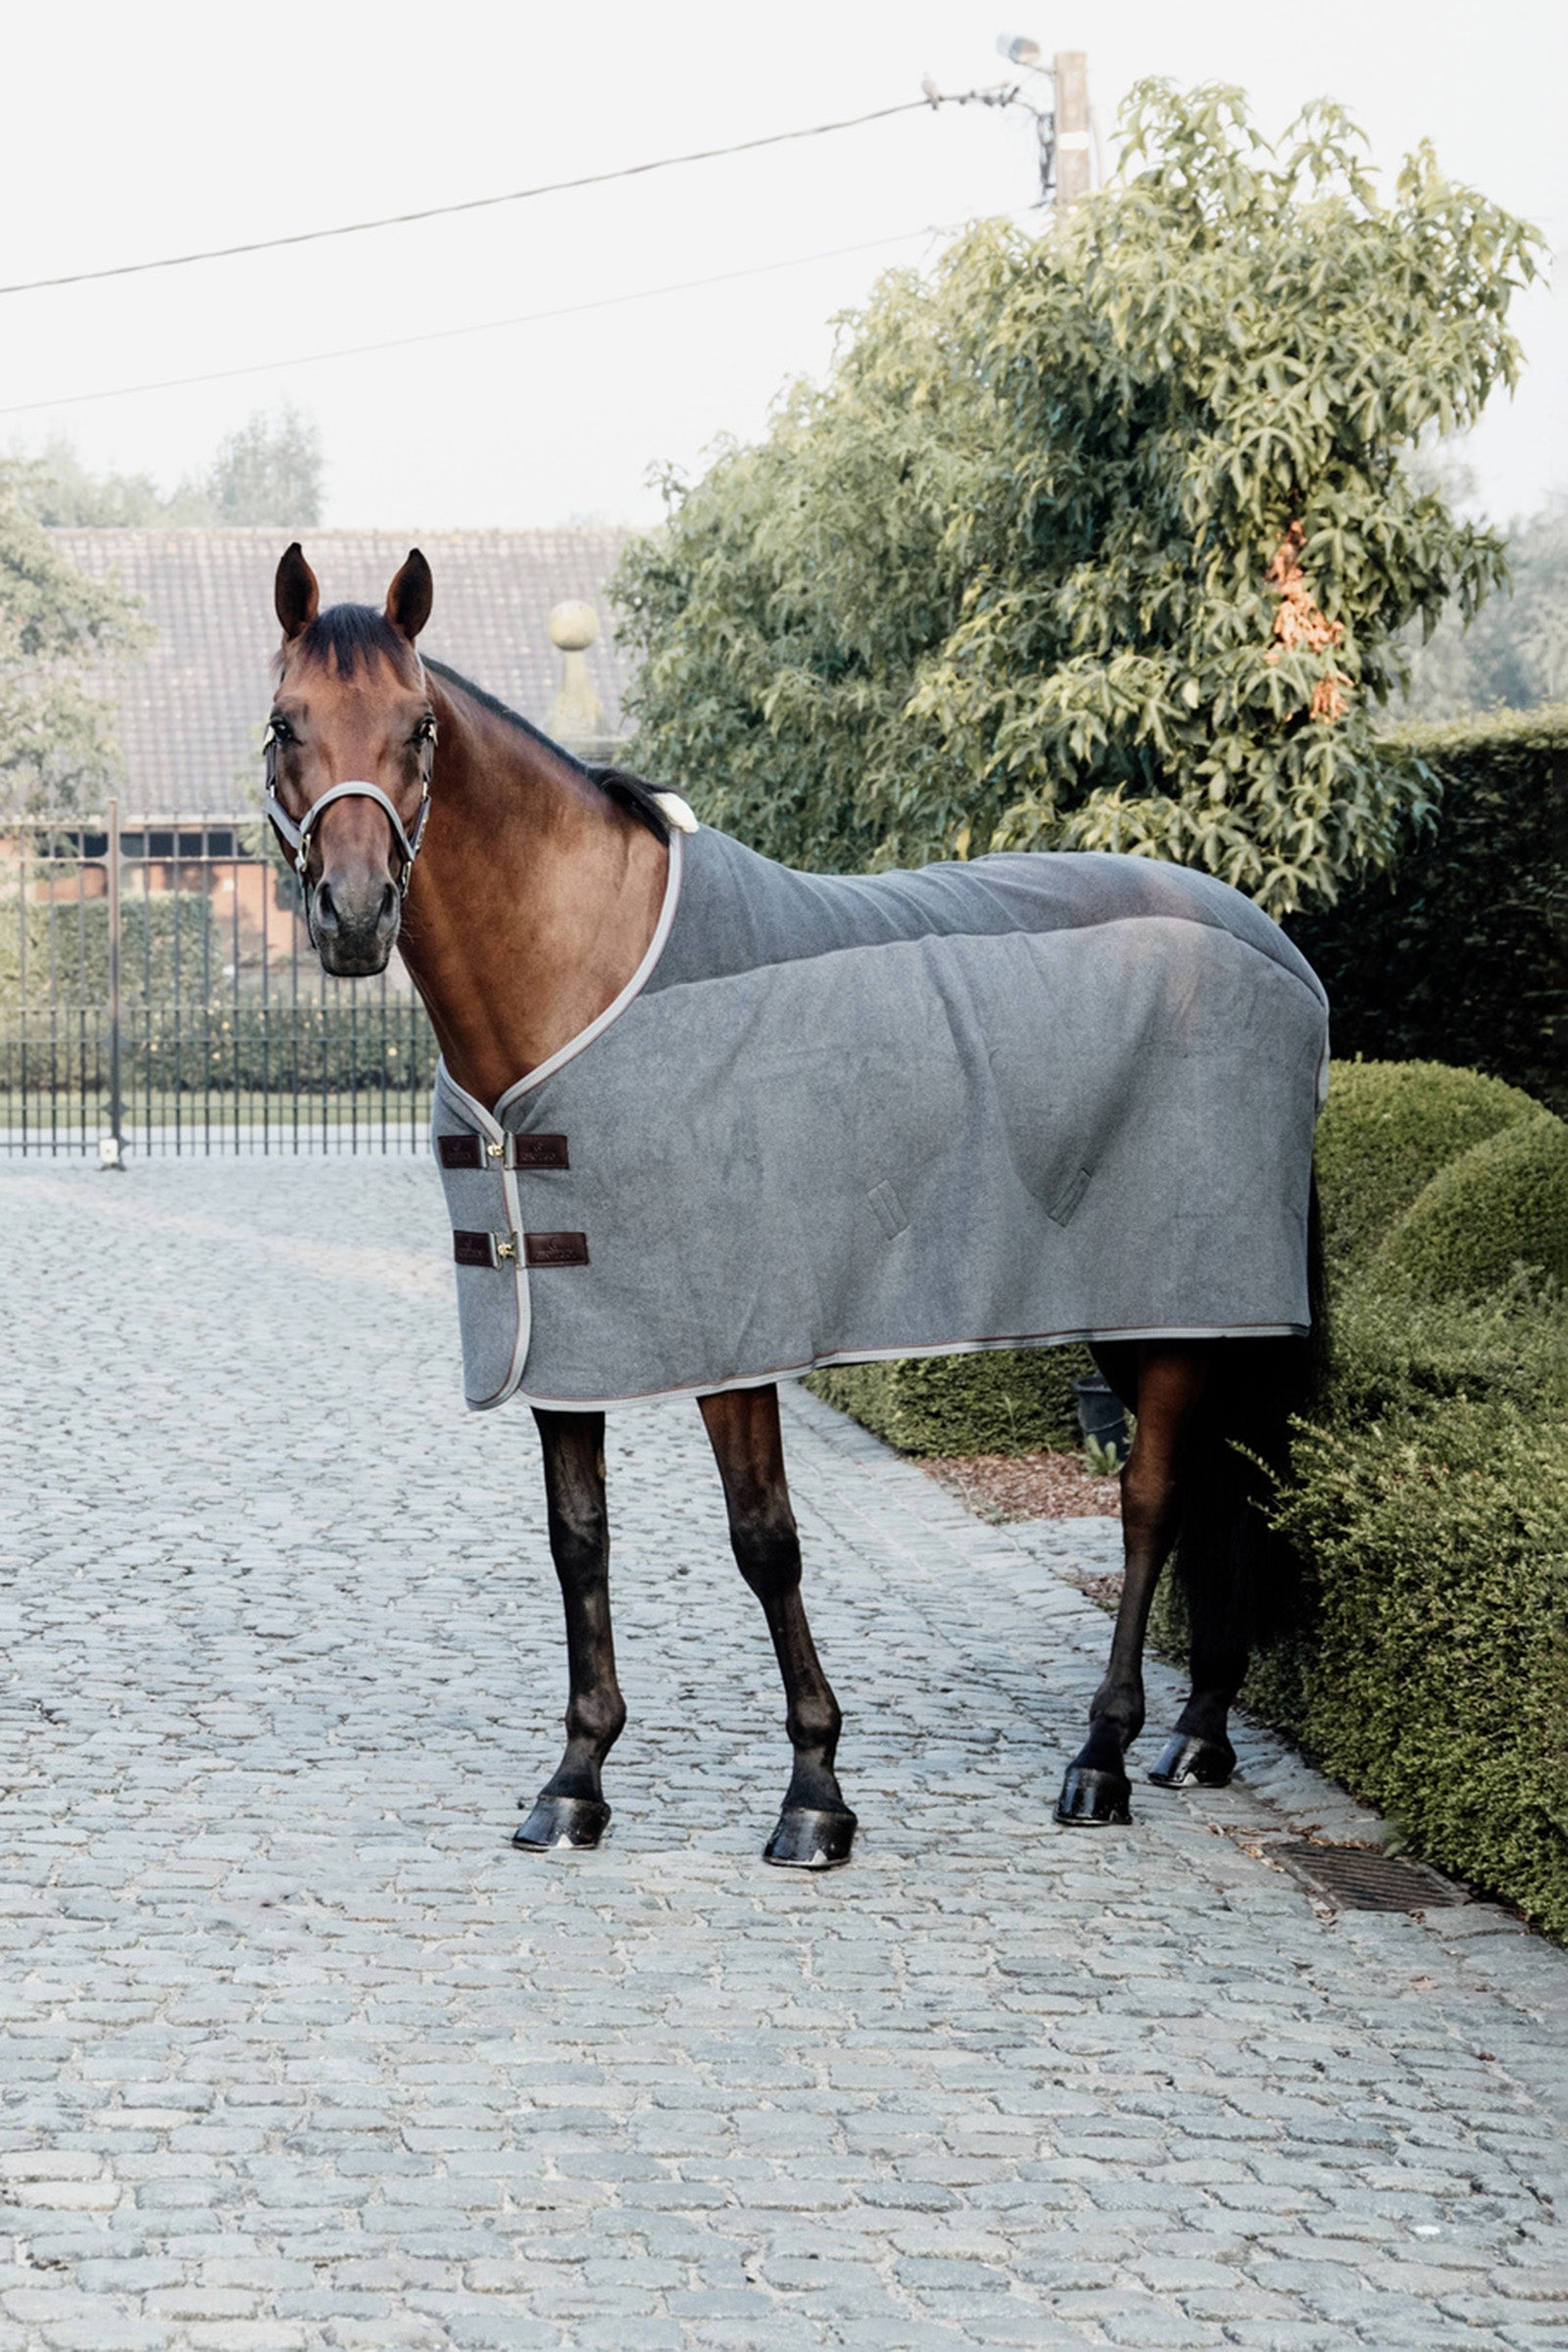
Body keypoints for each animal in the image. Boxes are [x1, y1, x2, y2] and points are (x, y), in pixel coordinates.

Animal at [261, 543, 1326, 1870]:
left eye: (418, 728)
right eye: (283, 723)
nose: (353, 916)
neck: (583, 978)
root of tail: (1274, 945)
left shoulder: (737, 1340)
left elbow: (764, 1542)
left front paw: (815, 1793)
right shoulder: (564, 1333)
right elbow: (577, 1542)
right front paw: (575, 1781)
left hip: (1176, 1304)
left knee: (1148, 1503)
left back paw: (1103, 1756)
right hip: (1158, 1306)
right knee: (1223, 1488)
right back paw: (1199, 1734)